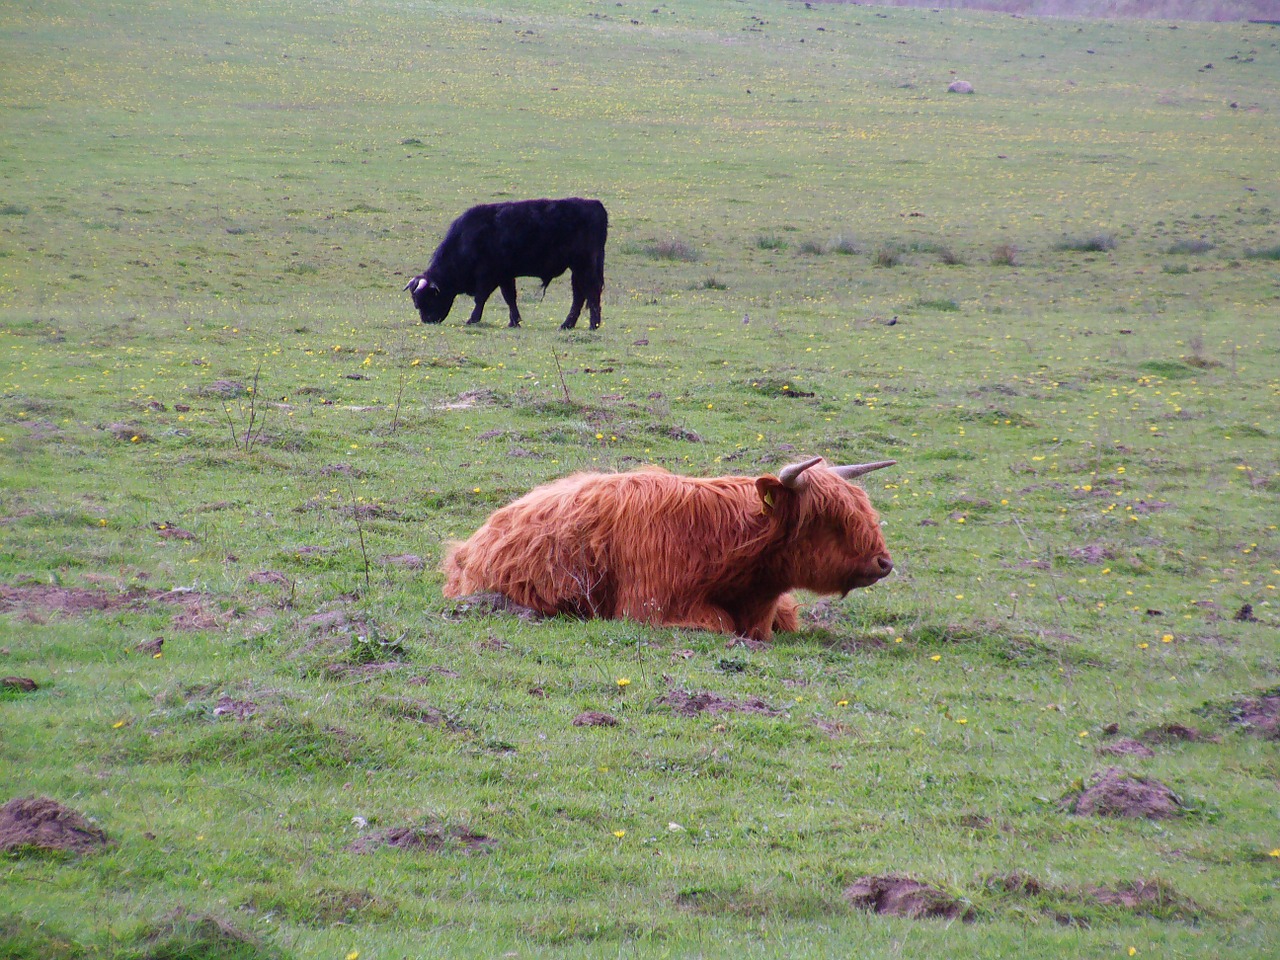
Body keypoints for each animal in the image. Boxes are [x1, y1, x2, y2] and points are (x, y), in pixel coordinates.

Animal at [409, 197, 609, 330]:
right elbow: (510, 298)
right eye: (416, 302)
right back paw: (568, 324)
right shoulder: (505, 276)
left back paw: (592, 325)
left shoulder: (488, 276)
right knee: (580, 294)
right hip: (578, 268)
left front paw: (472, 319)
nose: (428, 320)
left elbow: (481, 298)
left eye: (427, 298)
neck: (467, 238)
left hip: (584, 265)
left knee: (590, 292)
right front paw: (514, 322)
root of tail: (594, 204)